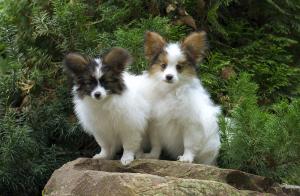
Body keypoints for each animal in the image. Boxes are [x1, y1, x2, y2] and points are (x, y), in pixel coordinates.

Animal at [142, 31, 221, 165]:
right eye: (163, 65)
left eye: (179, 67)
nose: (169, 76)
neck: (171, 91)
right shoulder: (155, 124)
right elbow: (156, 143)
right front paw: (153, 155)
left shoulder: (190, 124)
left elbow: (189, 143)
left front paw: (186, 158)